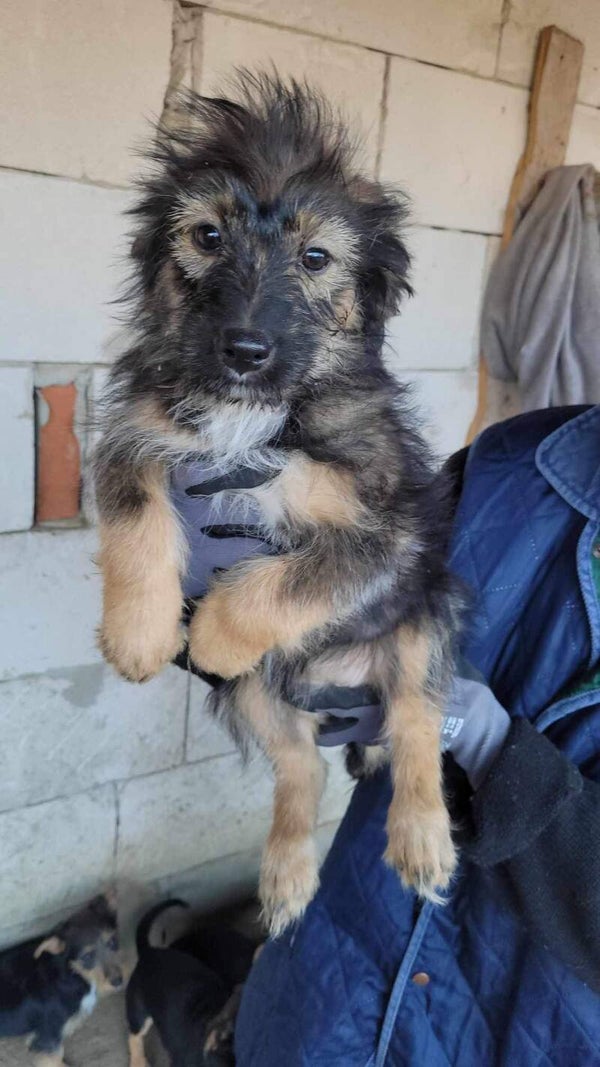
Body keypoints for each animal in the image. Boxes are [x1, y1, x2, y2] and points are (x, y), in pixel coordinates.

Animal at [0, 892, 123, 1066]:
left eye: (113, 942)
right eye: (87, 957)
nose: (118, 981)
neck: (71, 975)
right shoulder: (46, 1041)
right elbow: (57, 1059)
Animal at [94, 73, 464, 935]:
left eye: (316, 256)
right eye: (206, 237)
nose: (244, 350)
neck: (254, 407)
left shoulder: (386, 534)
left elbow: (288, 581)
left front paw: (217, 632)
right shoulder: (137, 433)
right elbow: (134, 518)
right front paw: (138, 634)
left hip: (425, 617)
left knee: (416, 724)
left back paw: (422, 837)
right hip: (262, 695)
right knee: (302, 768)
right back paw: (289, 873)